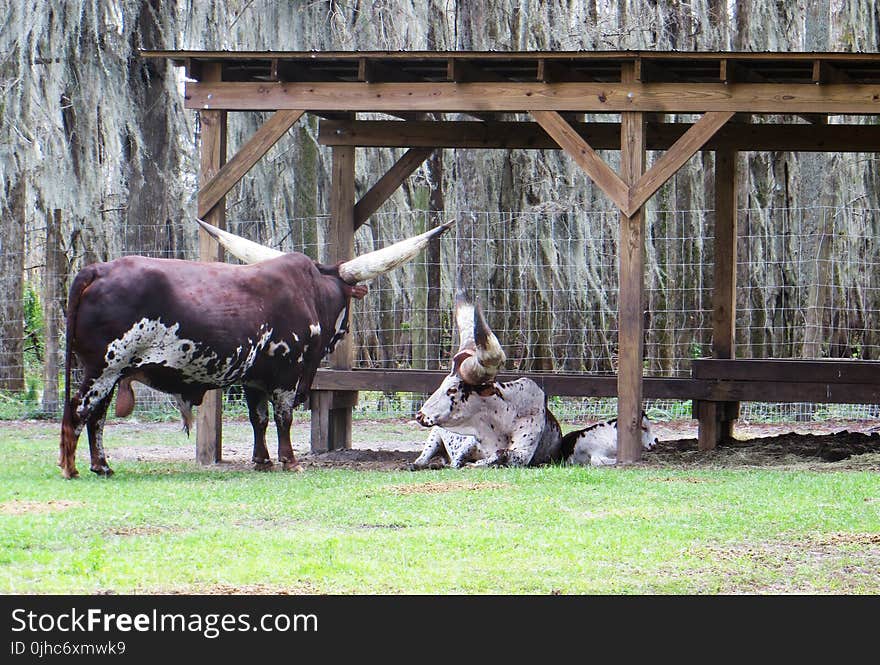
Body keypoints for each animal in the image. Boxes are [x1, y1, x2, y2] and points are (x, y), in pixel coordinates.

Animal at [60, 219, 454, 478]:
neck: (312, 292)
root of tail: (97, 270)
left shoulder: (254, 378)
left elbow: (258, 418)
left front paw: (262, 460)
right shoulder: (288, 375)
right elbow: (283, 417)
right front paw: (289, 460)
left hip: (112, 373)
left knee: (96, 416)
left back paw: (101, 465)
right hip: (104, 367)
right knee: (80, 408)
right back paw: (71, 467)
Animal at [414, 296, 564, 466]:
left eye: (452, 389)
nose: (419, 415)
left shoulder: (523, 454)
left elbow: (501, 453)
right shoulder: (469, 443)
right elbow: (458, 461)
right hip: (434, 437)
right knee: (421, 460)